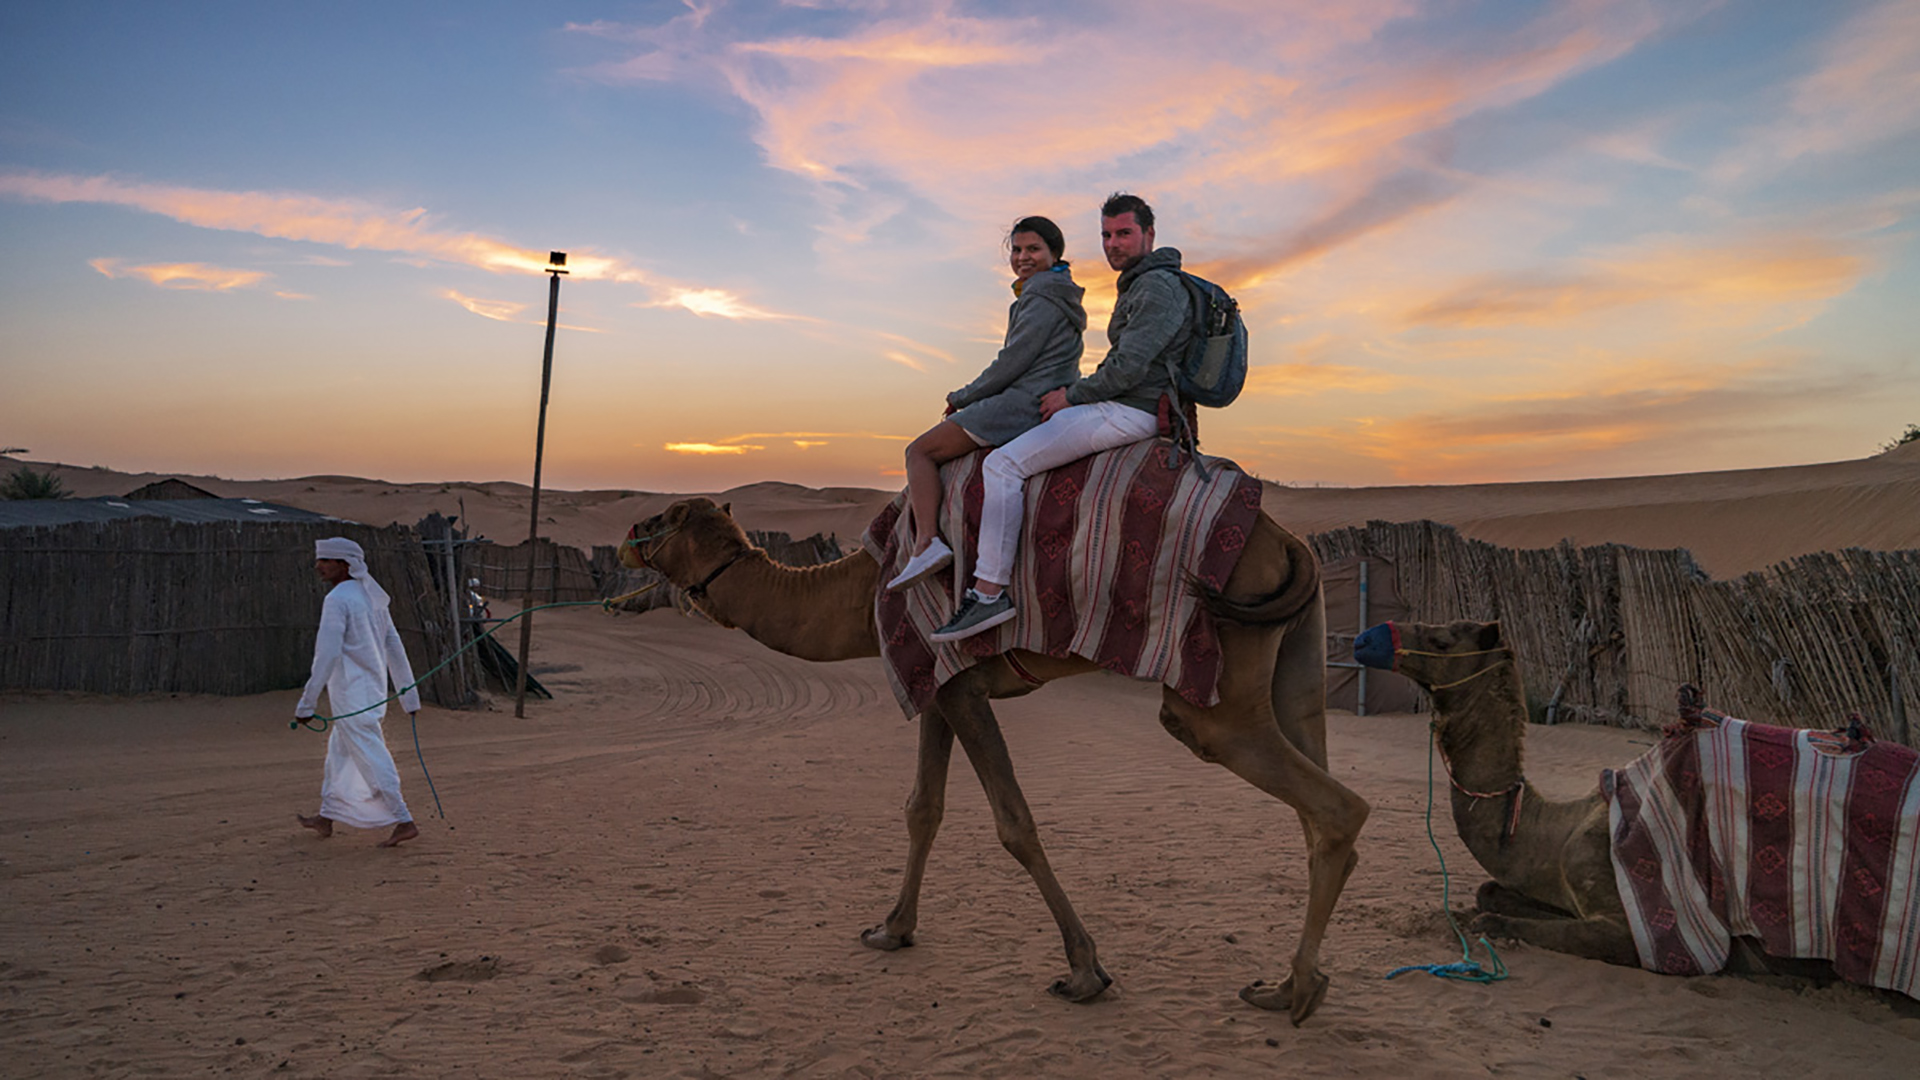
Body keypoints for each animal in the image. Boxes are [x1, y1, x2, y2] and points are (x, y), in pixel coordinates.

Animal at [625, 491, 1367, 1022]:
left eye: (663, 518)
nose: (631, 534)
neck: (857, 592)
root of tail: (1288, 542)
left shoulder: (957, 682)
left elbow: (1015, 824)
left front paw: (1084, 972)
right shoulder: (936, 678)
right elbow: (922, 808)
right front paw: (891, 930)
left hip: (1218, 683)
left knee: (1331, 803)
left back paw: (1298, 989)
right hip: (1295, 653)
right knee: (1318, 793)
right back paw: (1289, 984)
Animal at [1359, 614, 1912, 991]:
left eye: (1441, 640)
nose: (1367, 638)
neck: (1553, 829)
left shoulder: (1639, 926)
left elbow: (1494, 919)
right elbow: (1488, 892)